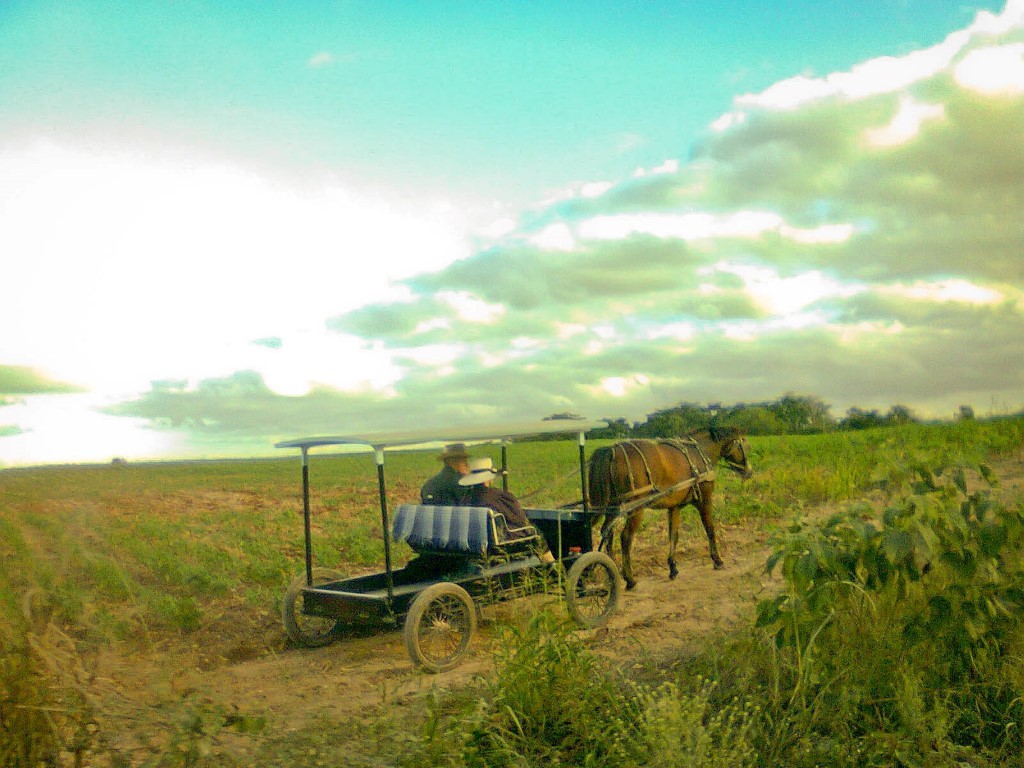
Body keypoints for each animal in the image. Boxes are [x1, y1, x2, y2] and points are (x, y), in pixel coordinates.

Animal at [585, 428, 753, 589]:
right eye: (743, 445)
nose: (749, 471)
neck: (700, 451)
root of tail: (611, 450)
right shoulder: (704, 500)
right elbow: (710, 529)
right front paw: (717, 560)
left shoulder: (674, 507)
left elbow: (673, 535)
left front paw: (673, 568)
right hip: (635, 508)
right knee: (625, 538)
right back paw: (629, 579)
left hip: (612, 506)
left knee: (607, 532)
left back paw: (613, 572)